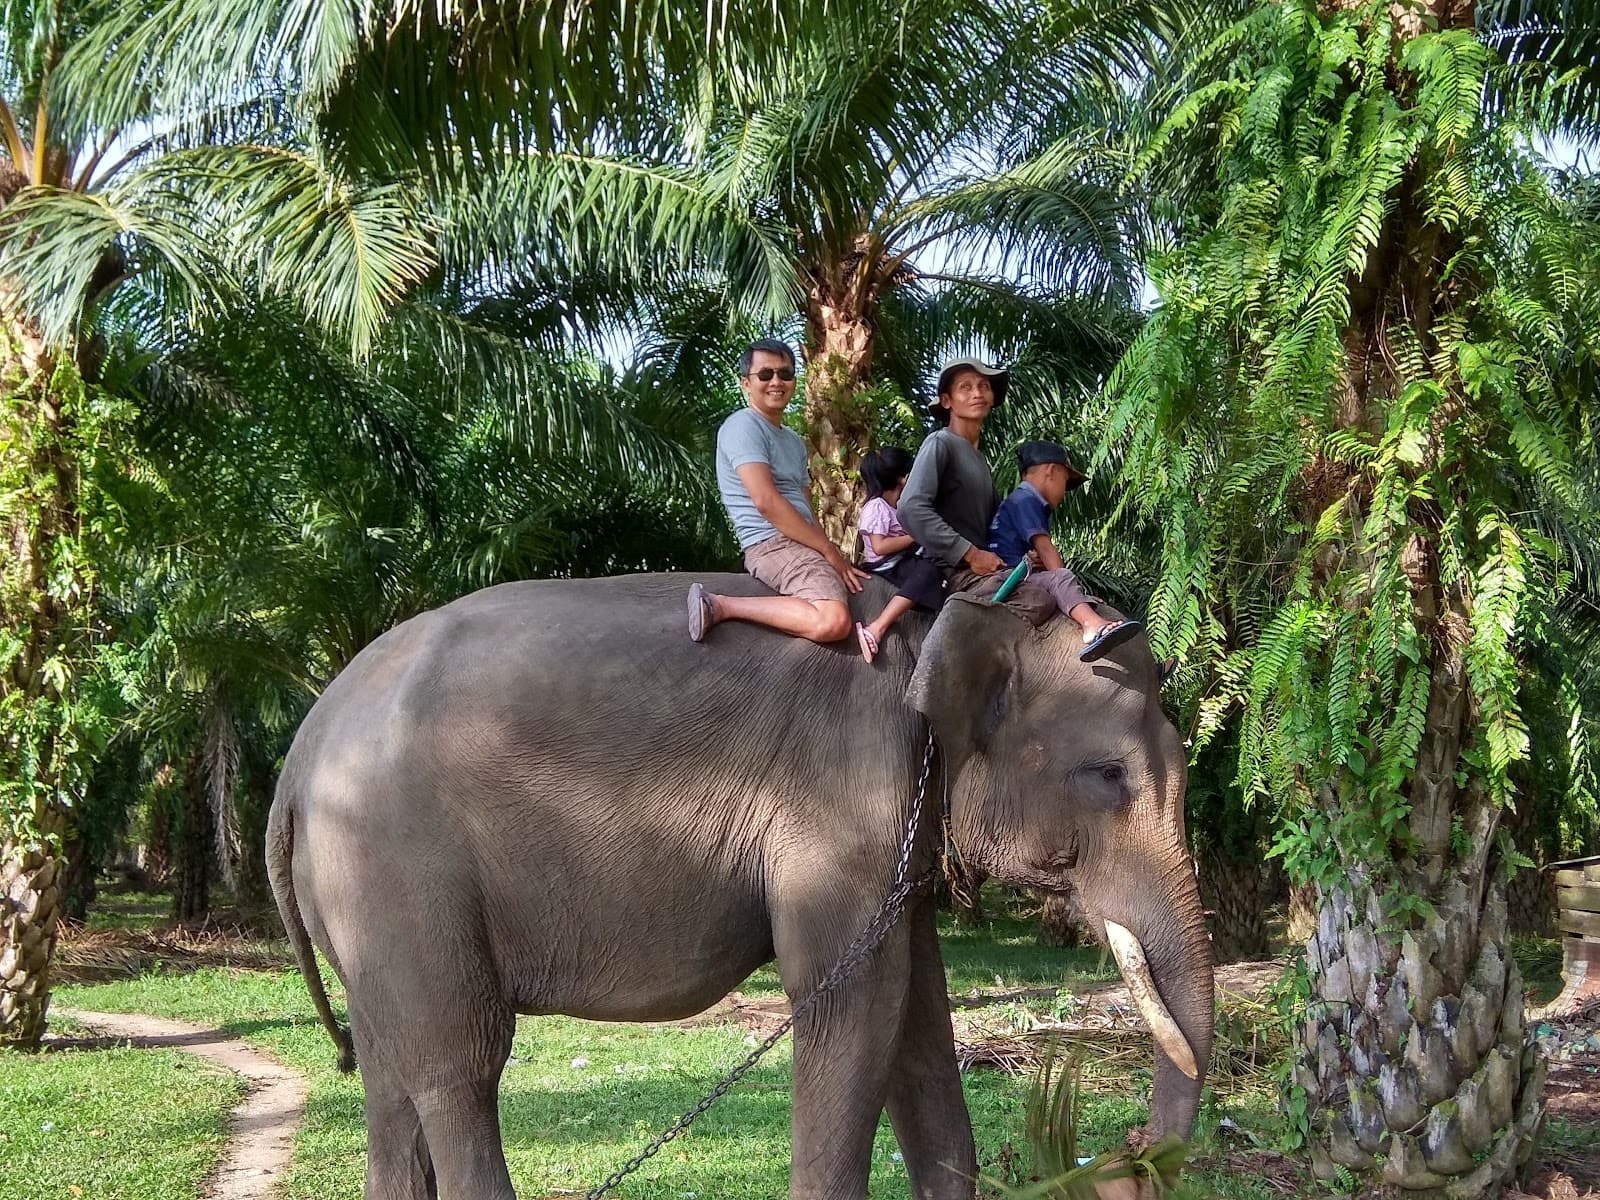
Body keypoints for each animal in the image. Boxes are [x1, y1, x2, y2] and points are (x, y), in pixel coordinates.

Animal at [267, 572, 1215, 1200]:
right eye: (1107, 776)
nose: (1131, 1150)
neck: (937, 628)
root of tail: (298, 759)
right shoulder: (842, 803)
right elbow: (855, 1007)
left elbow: (918, 1015)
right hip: (395, 867)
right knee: (459, 1064)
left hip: (361, 899)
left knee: (389, 1069)